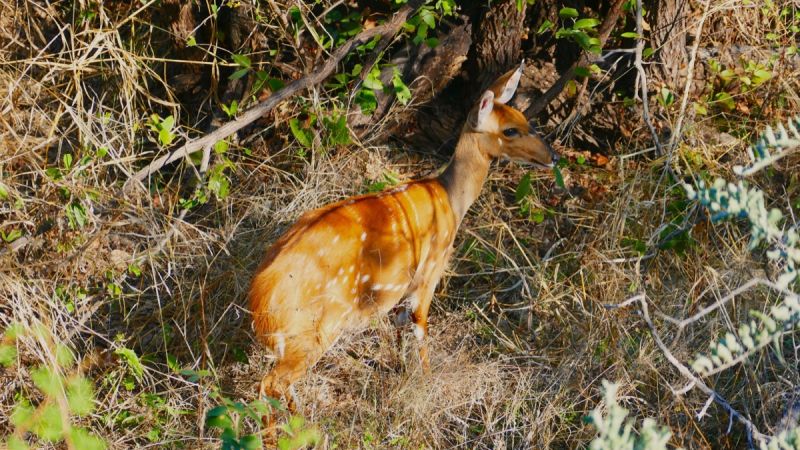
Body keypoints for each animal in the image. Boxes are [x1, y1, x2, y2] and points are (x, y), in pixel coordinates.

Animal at [248, 62, 556, 412]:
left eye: (524, 120)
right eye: (510, 131)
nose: (552, 157)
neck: (451, 199)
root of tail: (263, 297)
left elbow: (399, 332)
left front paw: (398, 373)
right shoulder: (427, 277)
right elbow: (420, 329)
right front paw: (426, 382)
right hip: (315, 329)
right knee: (271, 383)